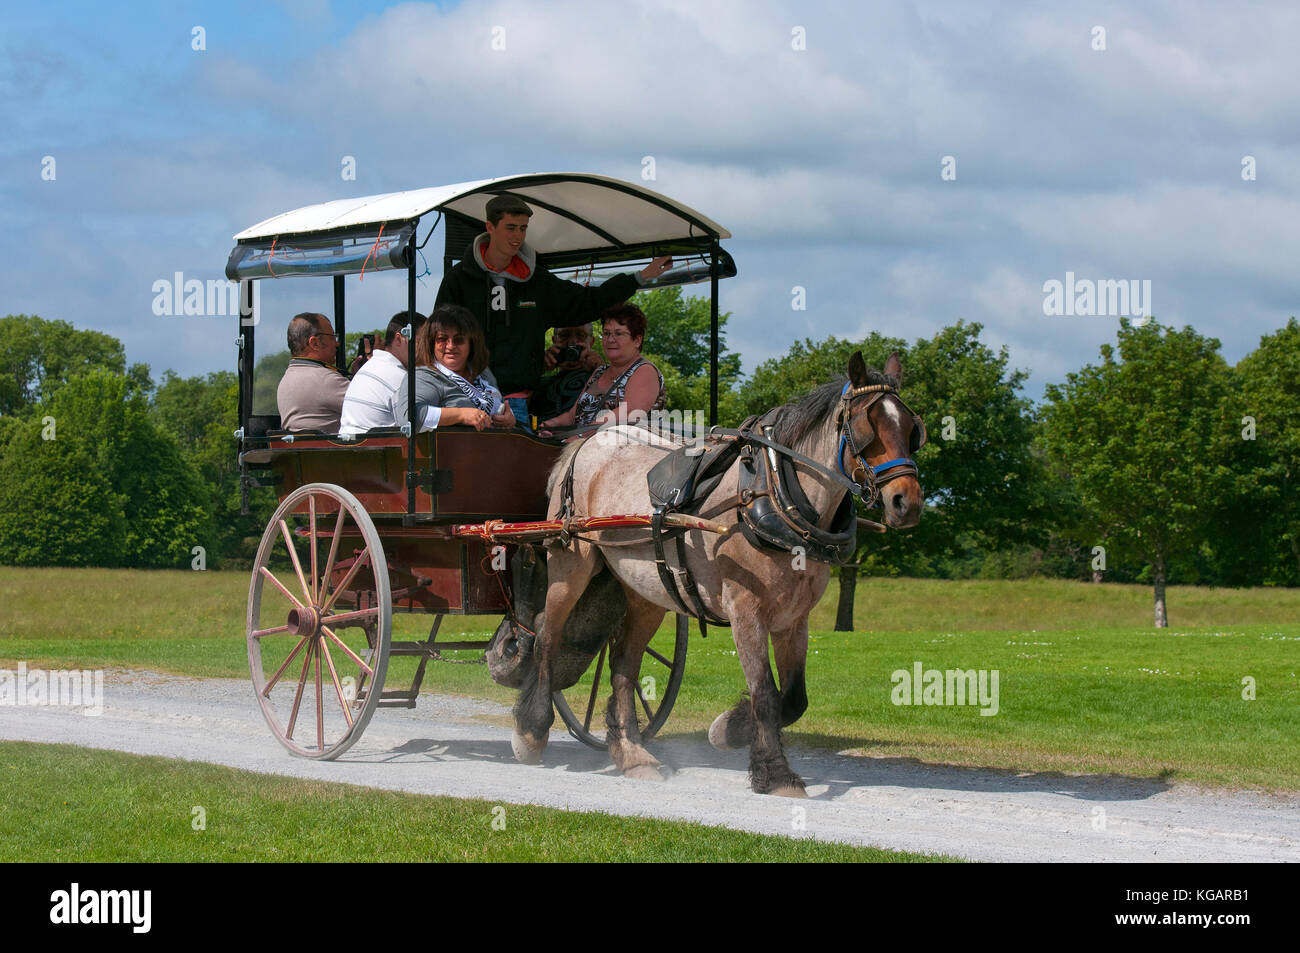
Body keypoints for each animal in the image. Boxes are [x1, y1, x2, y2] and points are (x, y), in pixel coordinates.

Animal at [506, 353, 925, 790]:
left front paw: (728, 729)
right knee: (548, 636)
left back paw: (633, 754)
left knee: (623, 664)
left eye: (912, 429)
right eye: (866, 425)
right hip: (572, 561)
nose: (906, 502)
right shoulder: (745, 609)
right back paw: (531, 731)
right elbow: (765, 693)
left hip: (648, 589)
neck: (773, 492)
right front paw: (775, 773)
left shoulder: (794, 617)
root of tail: (587, 442)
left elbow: (794, 698)